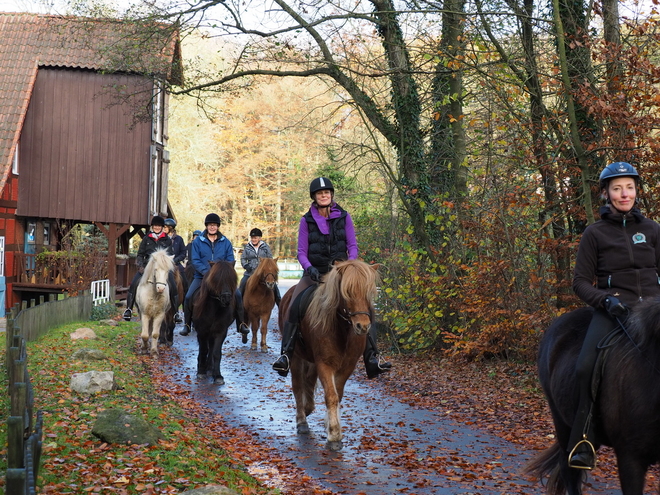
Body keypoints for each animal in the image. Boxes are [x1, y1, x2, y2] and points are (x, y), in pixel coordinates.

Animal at [278, 262, 378, 452]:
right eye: (348, 291)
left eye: (369, 291)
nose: (363, 326)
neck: (341, 329)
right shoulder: (324, 364)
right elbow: (331, 396)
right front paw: (334, 436)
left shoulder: (347, 366)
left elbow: (337, 395)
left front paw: (330, 425)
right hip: (296, 358)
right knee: (298, 385)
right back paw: (302, 420)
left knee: (309, 381)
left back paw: (308, 408)